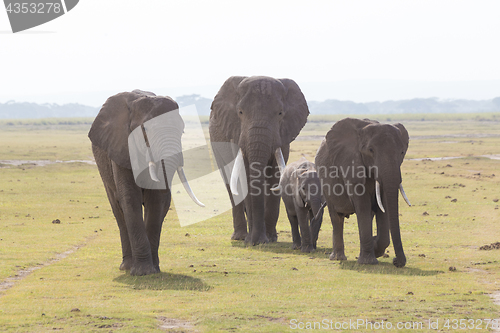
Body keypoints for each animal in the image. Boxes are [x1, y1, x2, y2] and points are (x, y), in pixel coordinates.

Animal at [88, 89, 203, 274]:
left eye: (182, 130)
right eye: (145, 129)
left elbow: (155, 201)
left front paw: (150, 271)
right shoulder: (121, 147)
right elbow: (130, 198)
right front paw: (142, 272)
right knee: (118, 209)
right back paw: (127, 267)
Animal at [209, 76, 310, 245]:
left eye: (280, 113)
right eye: (240, 112)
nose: (257, 241)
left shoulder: (283, 136)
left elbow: (275, 177)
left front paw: (269, 239)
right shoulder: (236, 134)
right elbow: (245, 177)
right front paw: (253, 241)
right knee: (230, 183)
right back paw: (240, 237)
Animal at [314, 118, 412, 266]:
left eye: (402, 152)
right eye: (370, 150)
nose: (396, 261)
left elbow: (383, 206)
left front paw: (375, 246)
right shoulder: (351, 164)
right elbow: (363, 205)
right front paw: (368, 261)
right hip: (325, 184)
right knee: (336, 217)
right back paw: (338, 258)